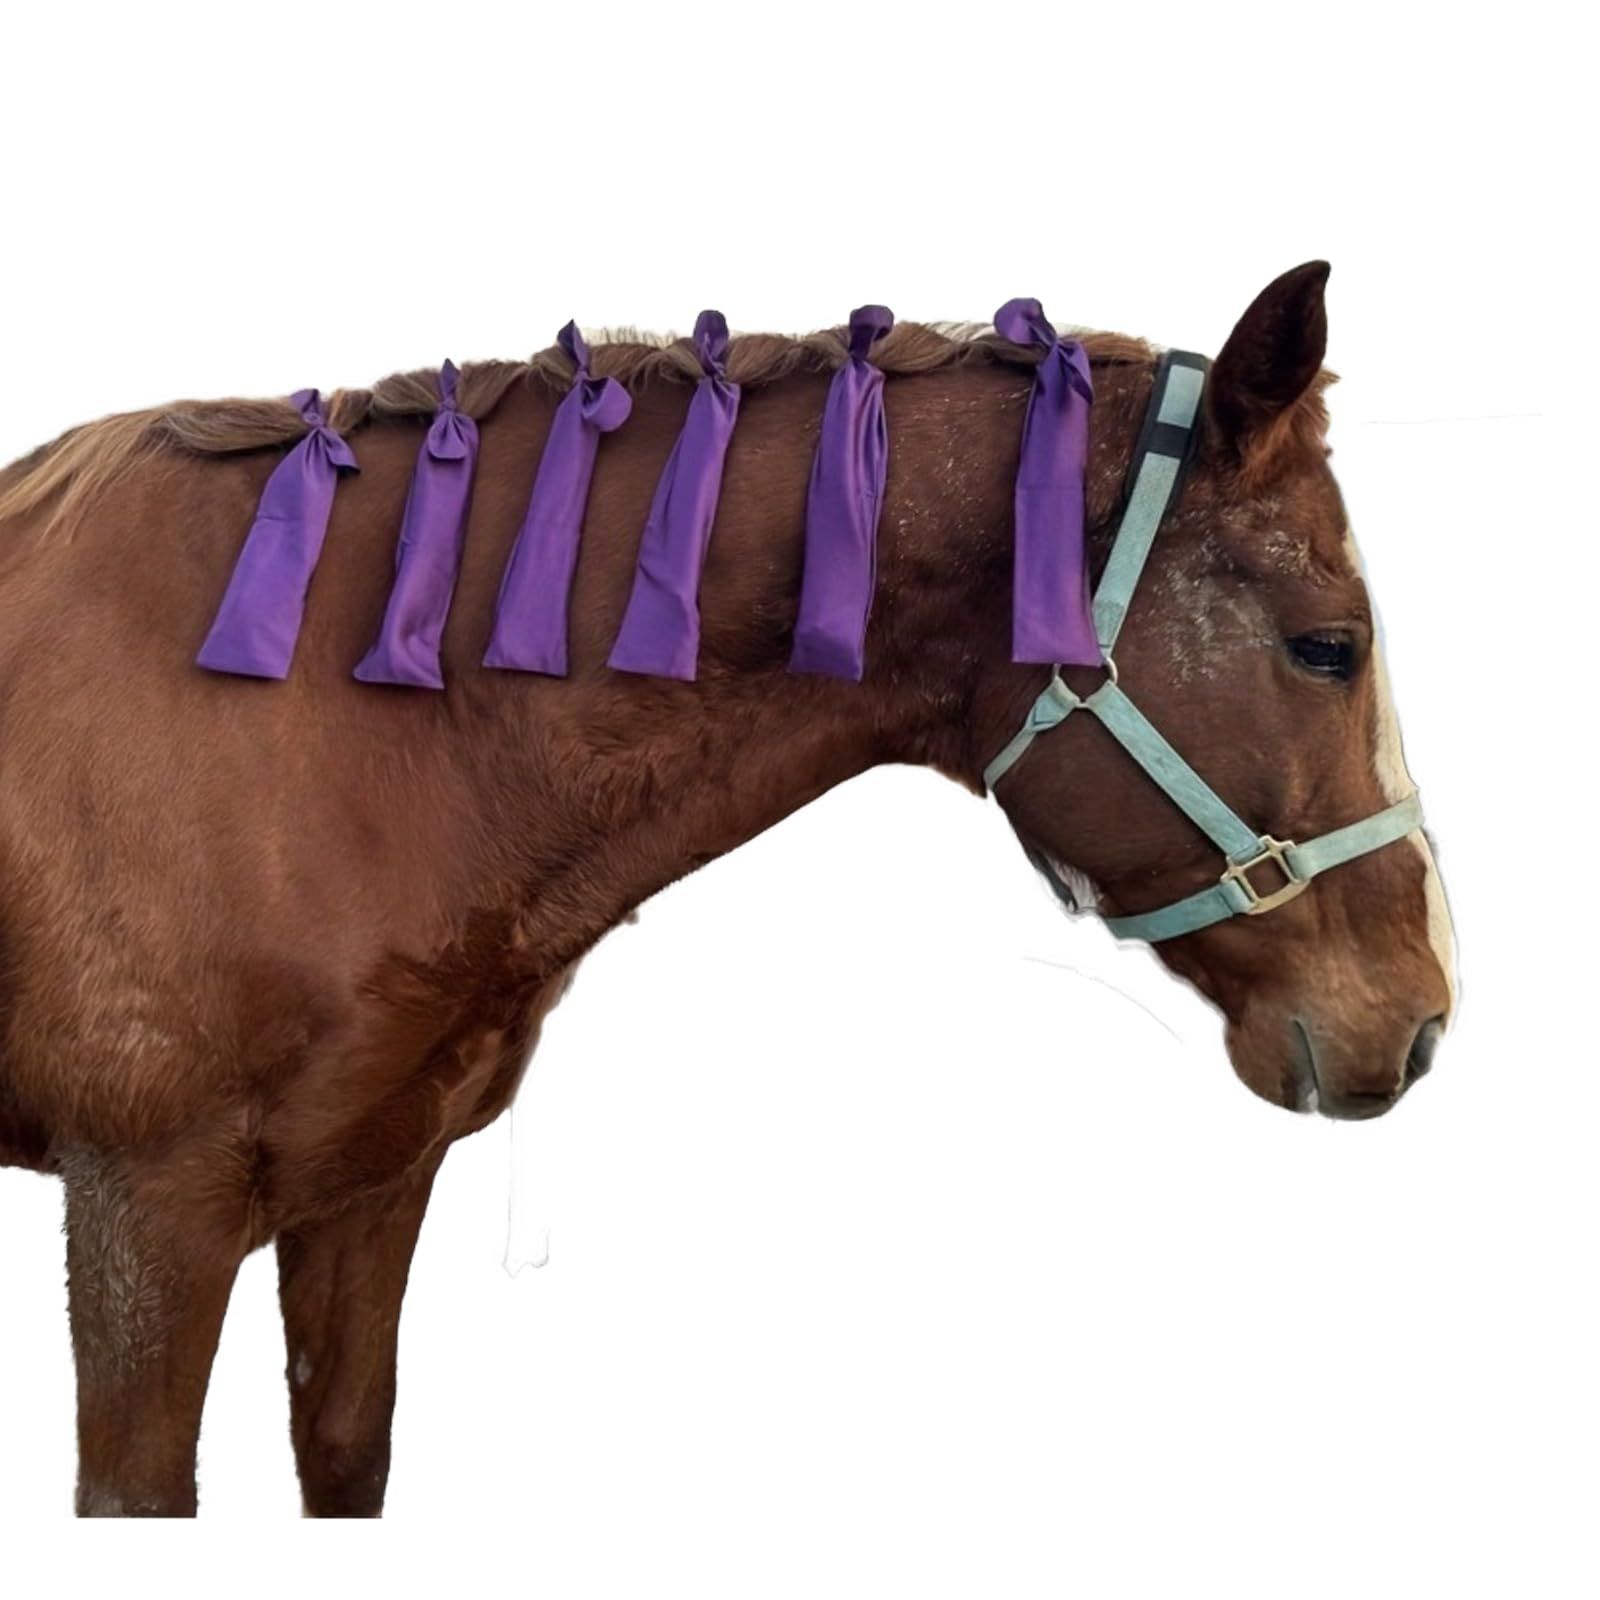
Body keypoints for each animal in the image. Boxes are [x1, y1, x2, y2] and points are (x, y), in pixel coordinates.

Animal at [0, 261, 1455, 1516]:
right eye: (1329, 647)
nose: (1422, 1018)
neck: (337, 718)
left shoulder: (368, 1186)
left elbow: (347, 1454)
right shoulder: (150, 1218)